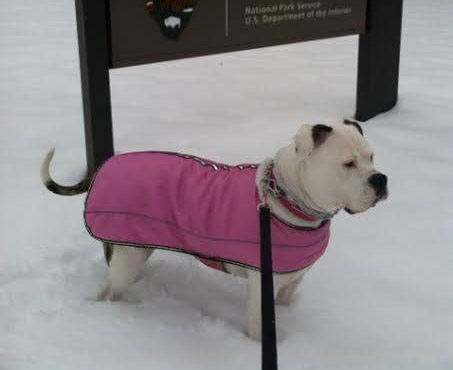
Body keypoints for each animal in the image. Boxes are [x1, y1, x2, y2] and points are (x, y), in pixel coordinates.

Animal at [42, 120, 386, 340]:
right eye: (348, 164)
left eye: (371, 157)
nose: (380, 179)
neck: (287, 197)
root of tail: (104, 166)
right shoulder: (262, 288)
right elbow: (261, 330)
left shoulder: (291, 281)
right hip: (127, 256)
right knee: (109, 293)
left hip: (135, 245)